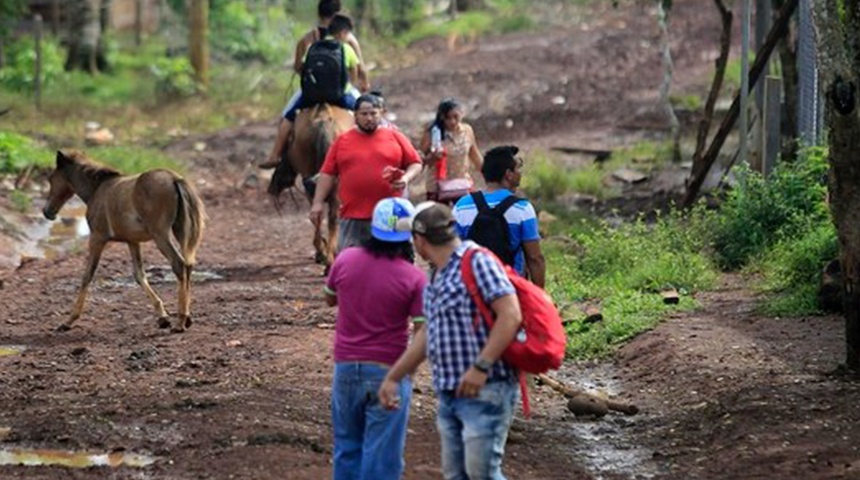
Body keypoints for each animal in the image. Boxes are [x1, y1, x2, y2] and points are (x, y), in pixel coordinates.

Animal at [42, 152, 207, 332]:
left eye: (51, 179)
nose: (47, 212)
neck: (98, 189)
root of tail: (174, 178)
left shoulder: (97, 238)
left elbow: (87, 275)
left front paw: (69, 320)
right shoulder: (132, 241)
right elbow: (139, 275)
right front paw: (162, 317)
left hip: (161, 235)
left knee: (179, 264)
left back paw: (180, 322)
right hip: (179, 230)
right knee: (188, 265)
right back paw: (187, 318)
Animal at [268, 103, 352, 266]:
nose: (273, 188)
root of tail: (323, 120)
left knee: (319, 214)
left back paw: (325, 254)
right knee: (330, 216)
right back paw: (328, 256)